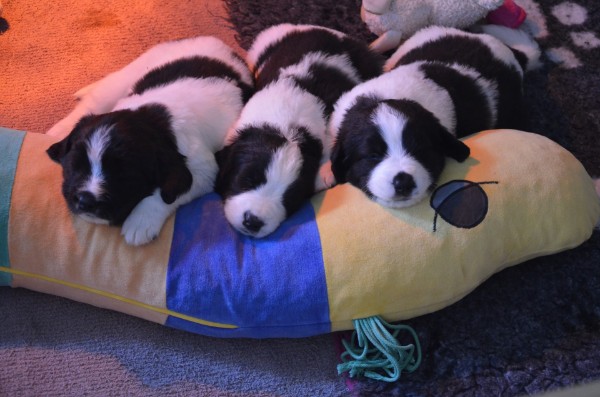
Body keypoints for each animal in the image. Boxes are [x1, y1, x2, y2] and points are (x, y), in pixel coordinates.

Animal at [47, 36, 252, 244]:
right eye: (75, 164)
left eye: (123, 174)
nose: (86, 200)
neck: (152, 120)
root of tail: (217, 40)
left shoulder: (203, 169)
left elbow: (167, 192)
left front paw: (140, 221)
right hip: (133, 70)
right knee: (97, 98)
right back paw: (59, 128)